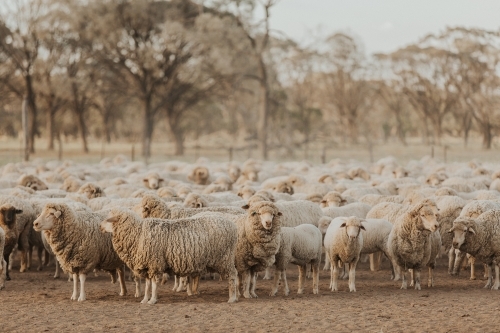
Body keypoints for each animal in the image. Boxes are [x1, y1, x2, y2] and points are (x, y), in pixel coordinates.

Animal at [101, 210, 238, 304]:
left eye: (108, 220)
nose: (100, 227)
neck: (138, 234)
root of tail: (232, 225)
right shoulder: (148, 265)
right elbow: (147, 285)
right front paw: (145, 299)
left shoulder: (155, 263)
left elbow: (154, 284)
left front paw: (153, 300)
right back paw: (235, 297)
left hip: (224, 258)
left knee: (232, 275)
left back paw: (232, 298)